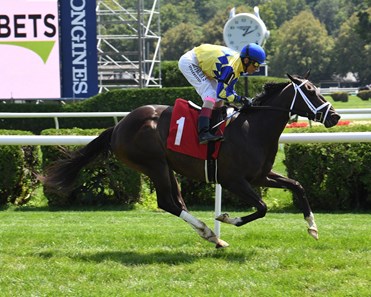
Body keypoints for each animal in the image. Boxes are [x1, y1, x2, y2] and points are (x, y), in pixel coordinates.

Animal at [41, 73, 340, 247]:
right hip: (155, 165)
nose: (335, 116)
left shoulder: (261, 175)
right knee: (167, 203)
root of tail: (118, 126)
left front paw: (313, 228)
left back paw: (211, 236)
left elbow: (297, 186)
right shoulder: (233, 180)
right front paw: (226, 218)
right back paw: (210, 233)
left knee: (176, 202)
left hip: (167, 168)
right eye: (310, 91)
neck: (252, 127)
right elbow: (263, 207)